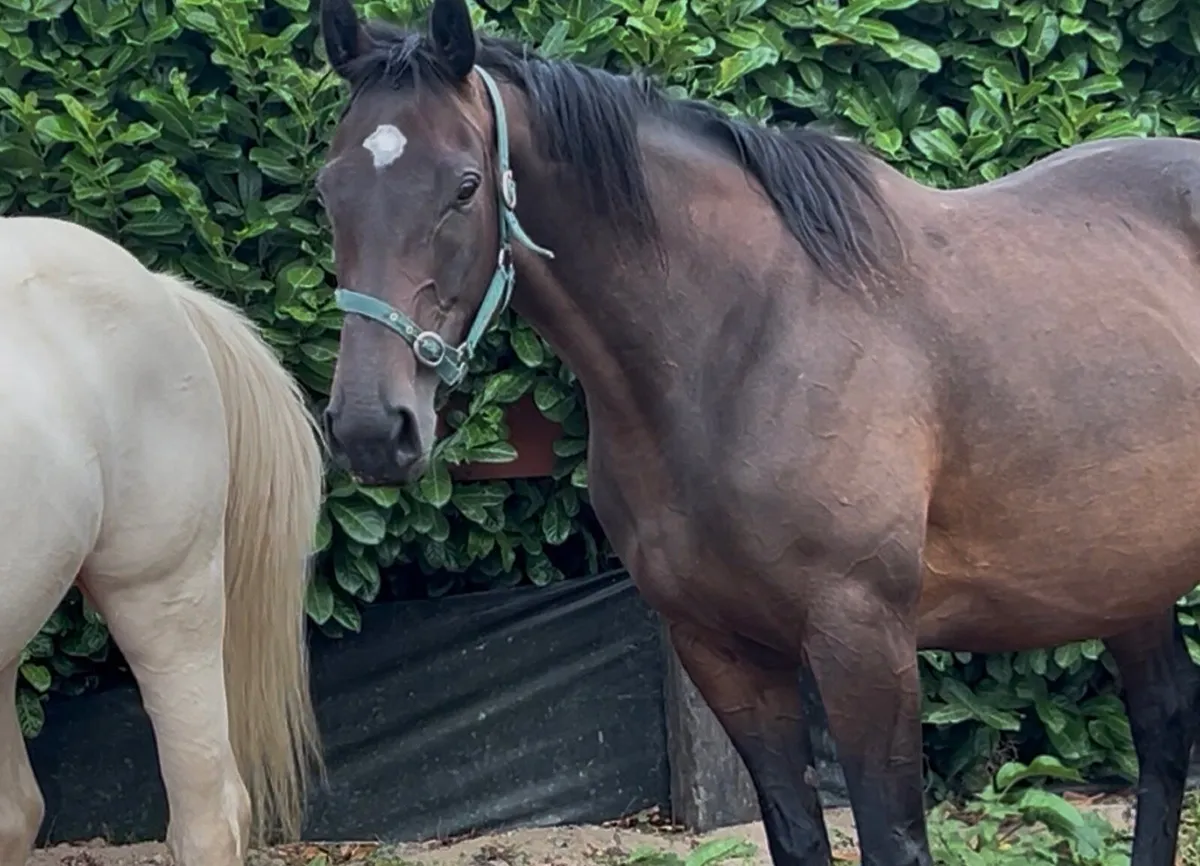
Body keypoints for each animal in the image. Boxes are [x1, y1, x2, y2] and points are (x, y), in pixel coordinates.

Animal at [314, 0, 1200, 862]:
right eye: (328, 189)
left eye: (465, 187)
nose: (371, 426)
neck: (743, 333)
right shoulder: (722, 648)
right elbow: (796, 835)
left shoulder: (863, 639)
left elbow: (894, 838)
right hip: (1123, 575)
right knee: (1163, 721)